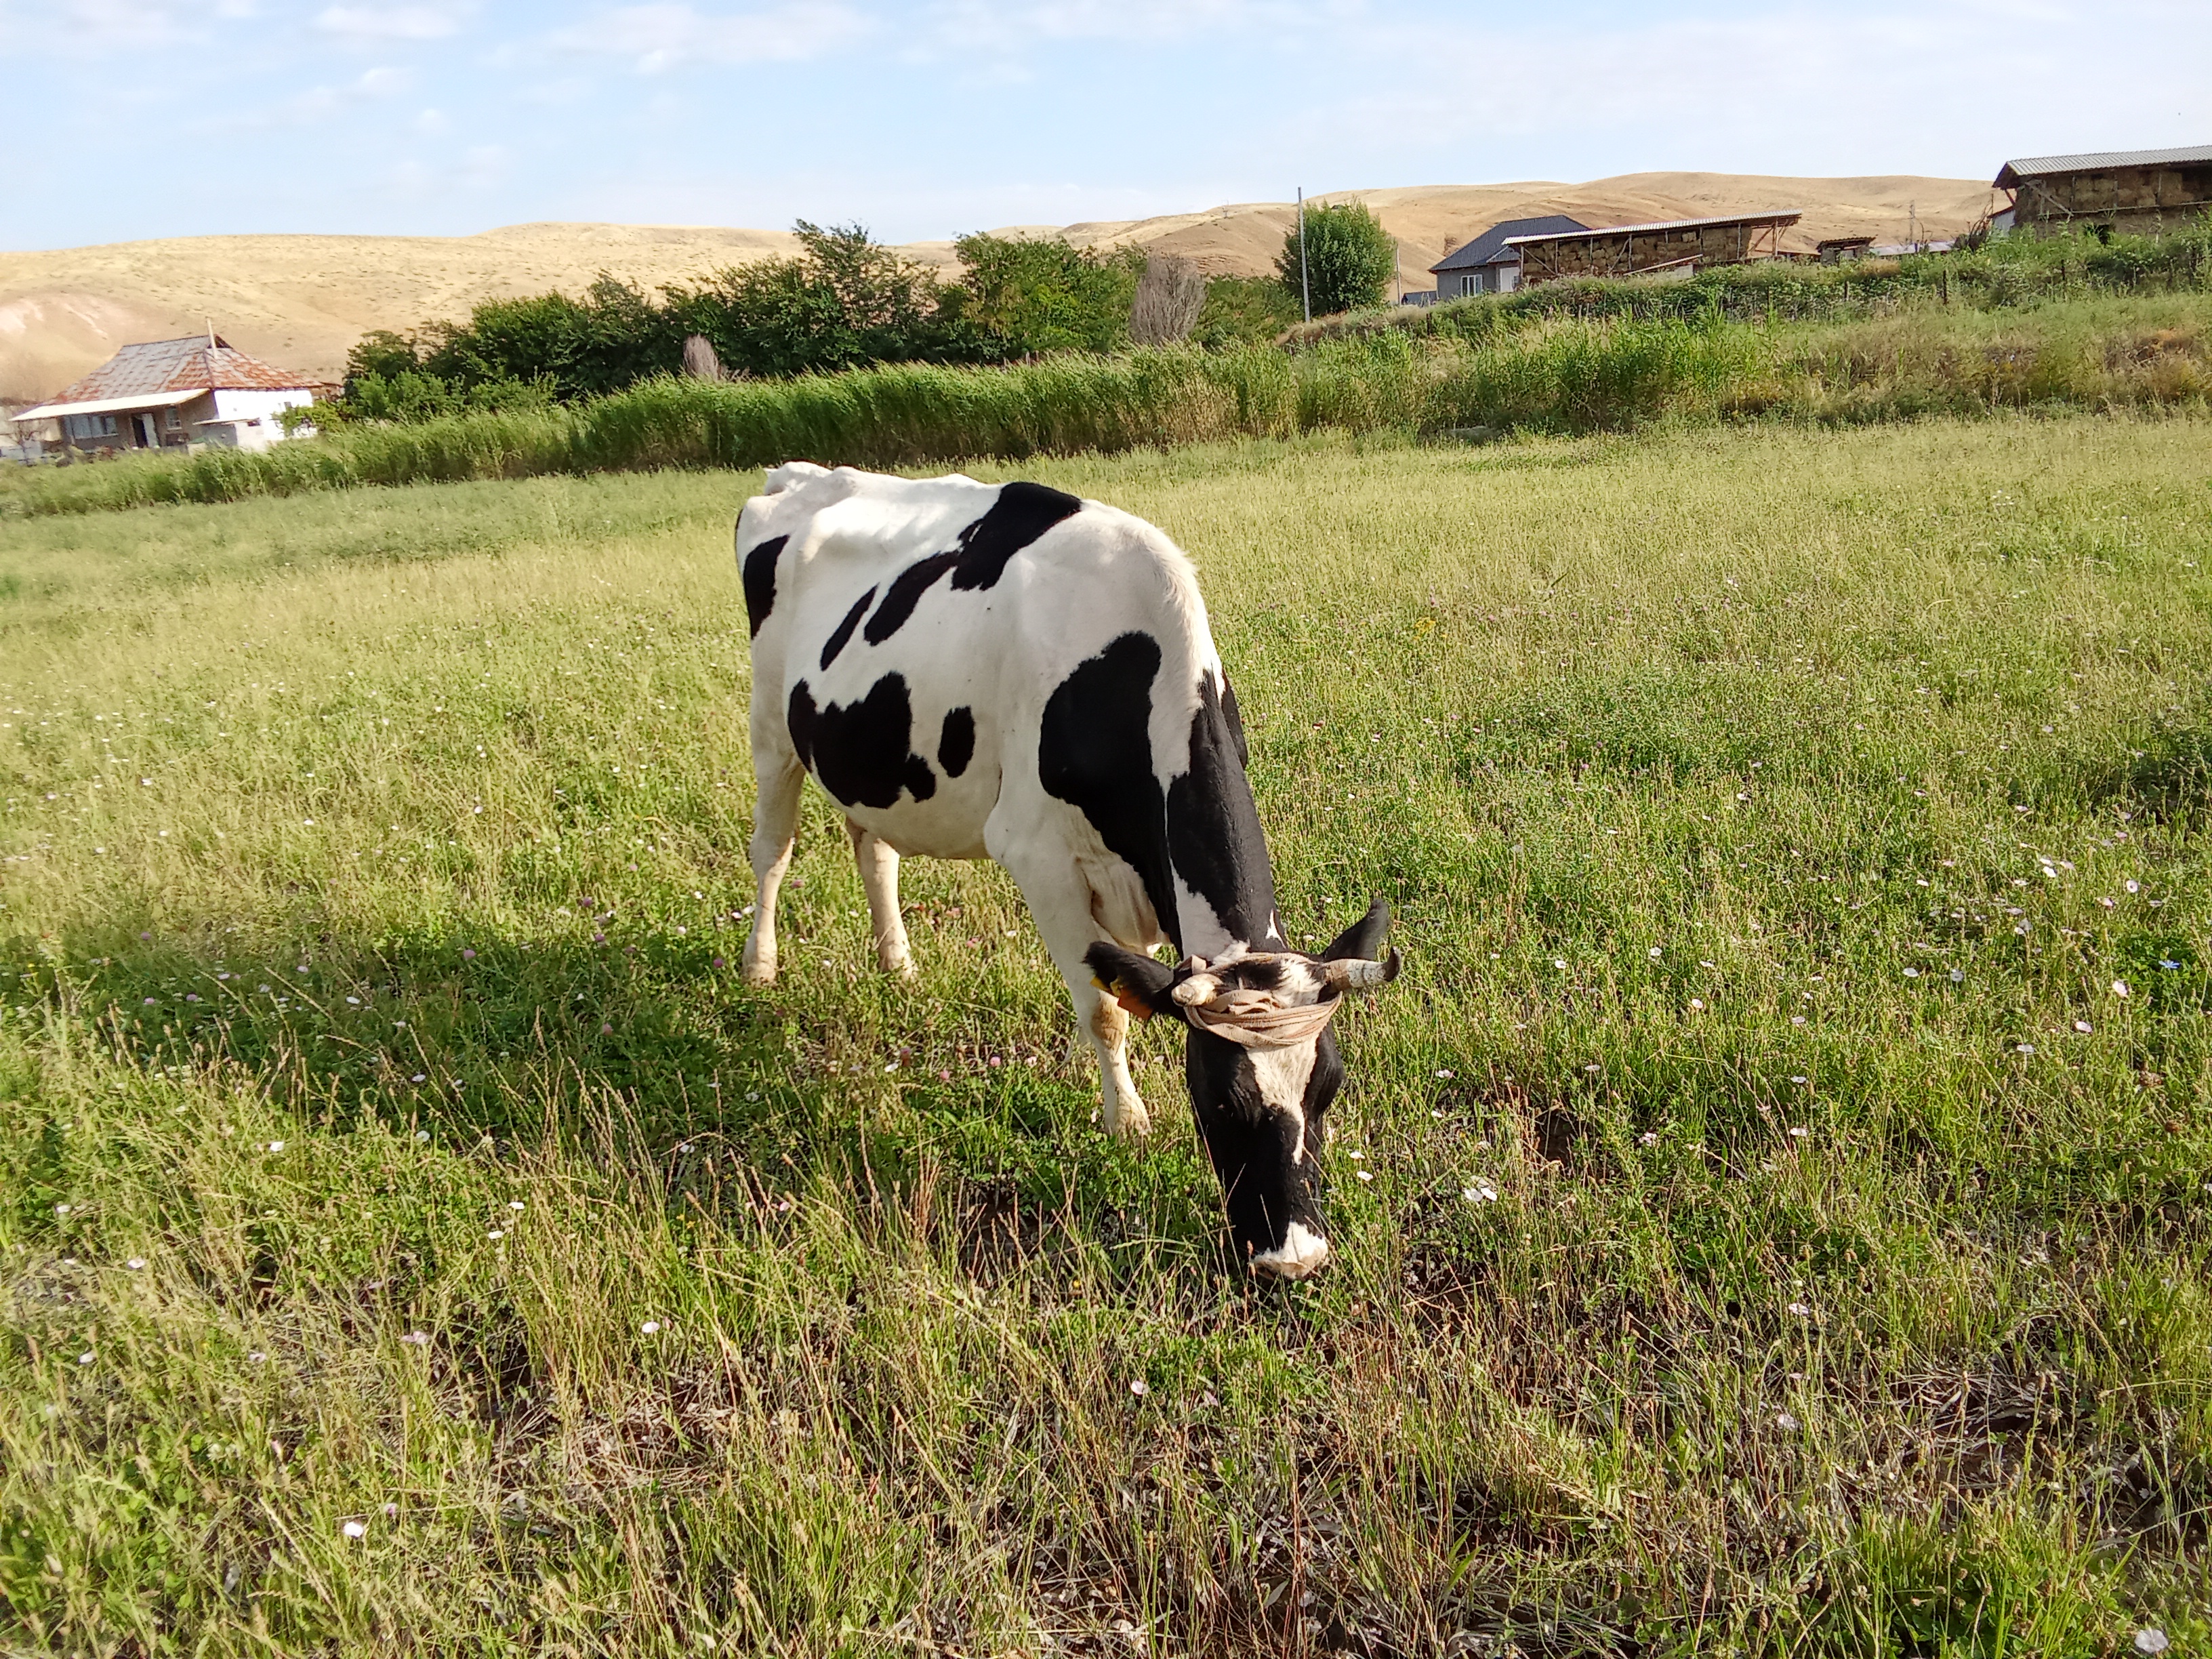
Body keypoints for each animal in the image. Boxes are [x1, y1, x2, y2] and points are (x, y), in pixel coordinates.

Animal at [734, 462, 1400, 1278]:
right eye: (1219, 1099)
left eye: (1328, 1088)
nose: (1294, 1258)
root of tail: (799, 474)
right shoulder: (1037, 856)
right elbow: (1107, 1010)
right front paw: (1129, 1124)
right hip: (771, 727)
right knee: (773, 851)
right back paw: (760, 965)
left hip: (868, 759)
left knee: (874, 848)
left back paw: (898, 965)